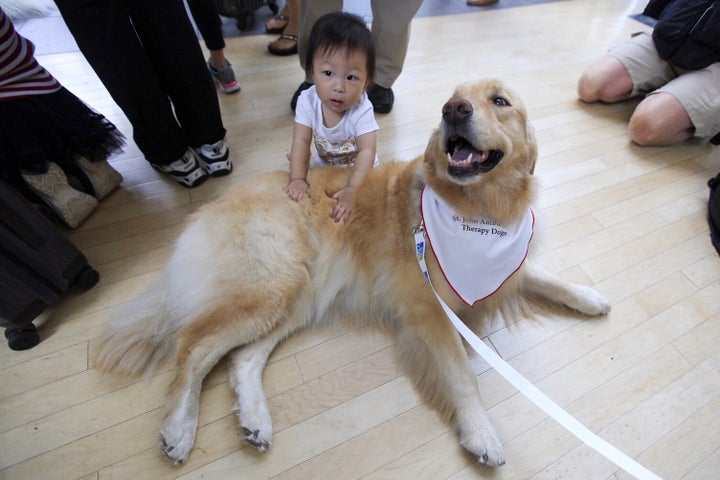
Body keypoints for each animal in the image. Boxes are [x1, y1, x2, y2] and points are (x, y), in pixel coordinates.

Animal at [95, 78, 612, 464]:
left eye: (500, 102)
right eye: (453, 99)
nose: (453, 110)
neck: (480, 211)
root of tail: (209, 209)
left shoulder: (506, 265)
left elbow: (543, 274)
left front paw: (589, 297)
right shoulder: (429, 309)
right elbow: (462, 374)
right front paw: (481, 432)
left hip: (297, 296)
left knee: (242, 359)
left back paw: (255, 421)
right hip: (270, 289)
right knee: (194, 348)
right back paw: (179, 430)